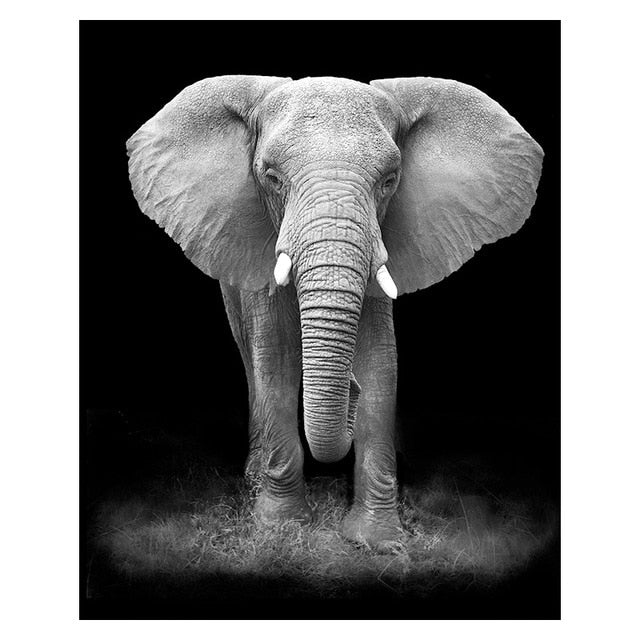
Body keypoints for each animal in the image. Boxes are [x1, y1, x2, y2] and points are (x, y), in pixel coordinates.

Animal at [127, 75, 543, 550]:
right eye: (271, 177)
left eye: (389, 180)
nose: (350, 390)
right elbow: (276, 360)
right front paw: (281, 528)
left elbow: (381, 363)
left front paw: (378, 541)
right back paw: (254, 479)